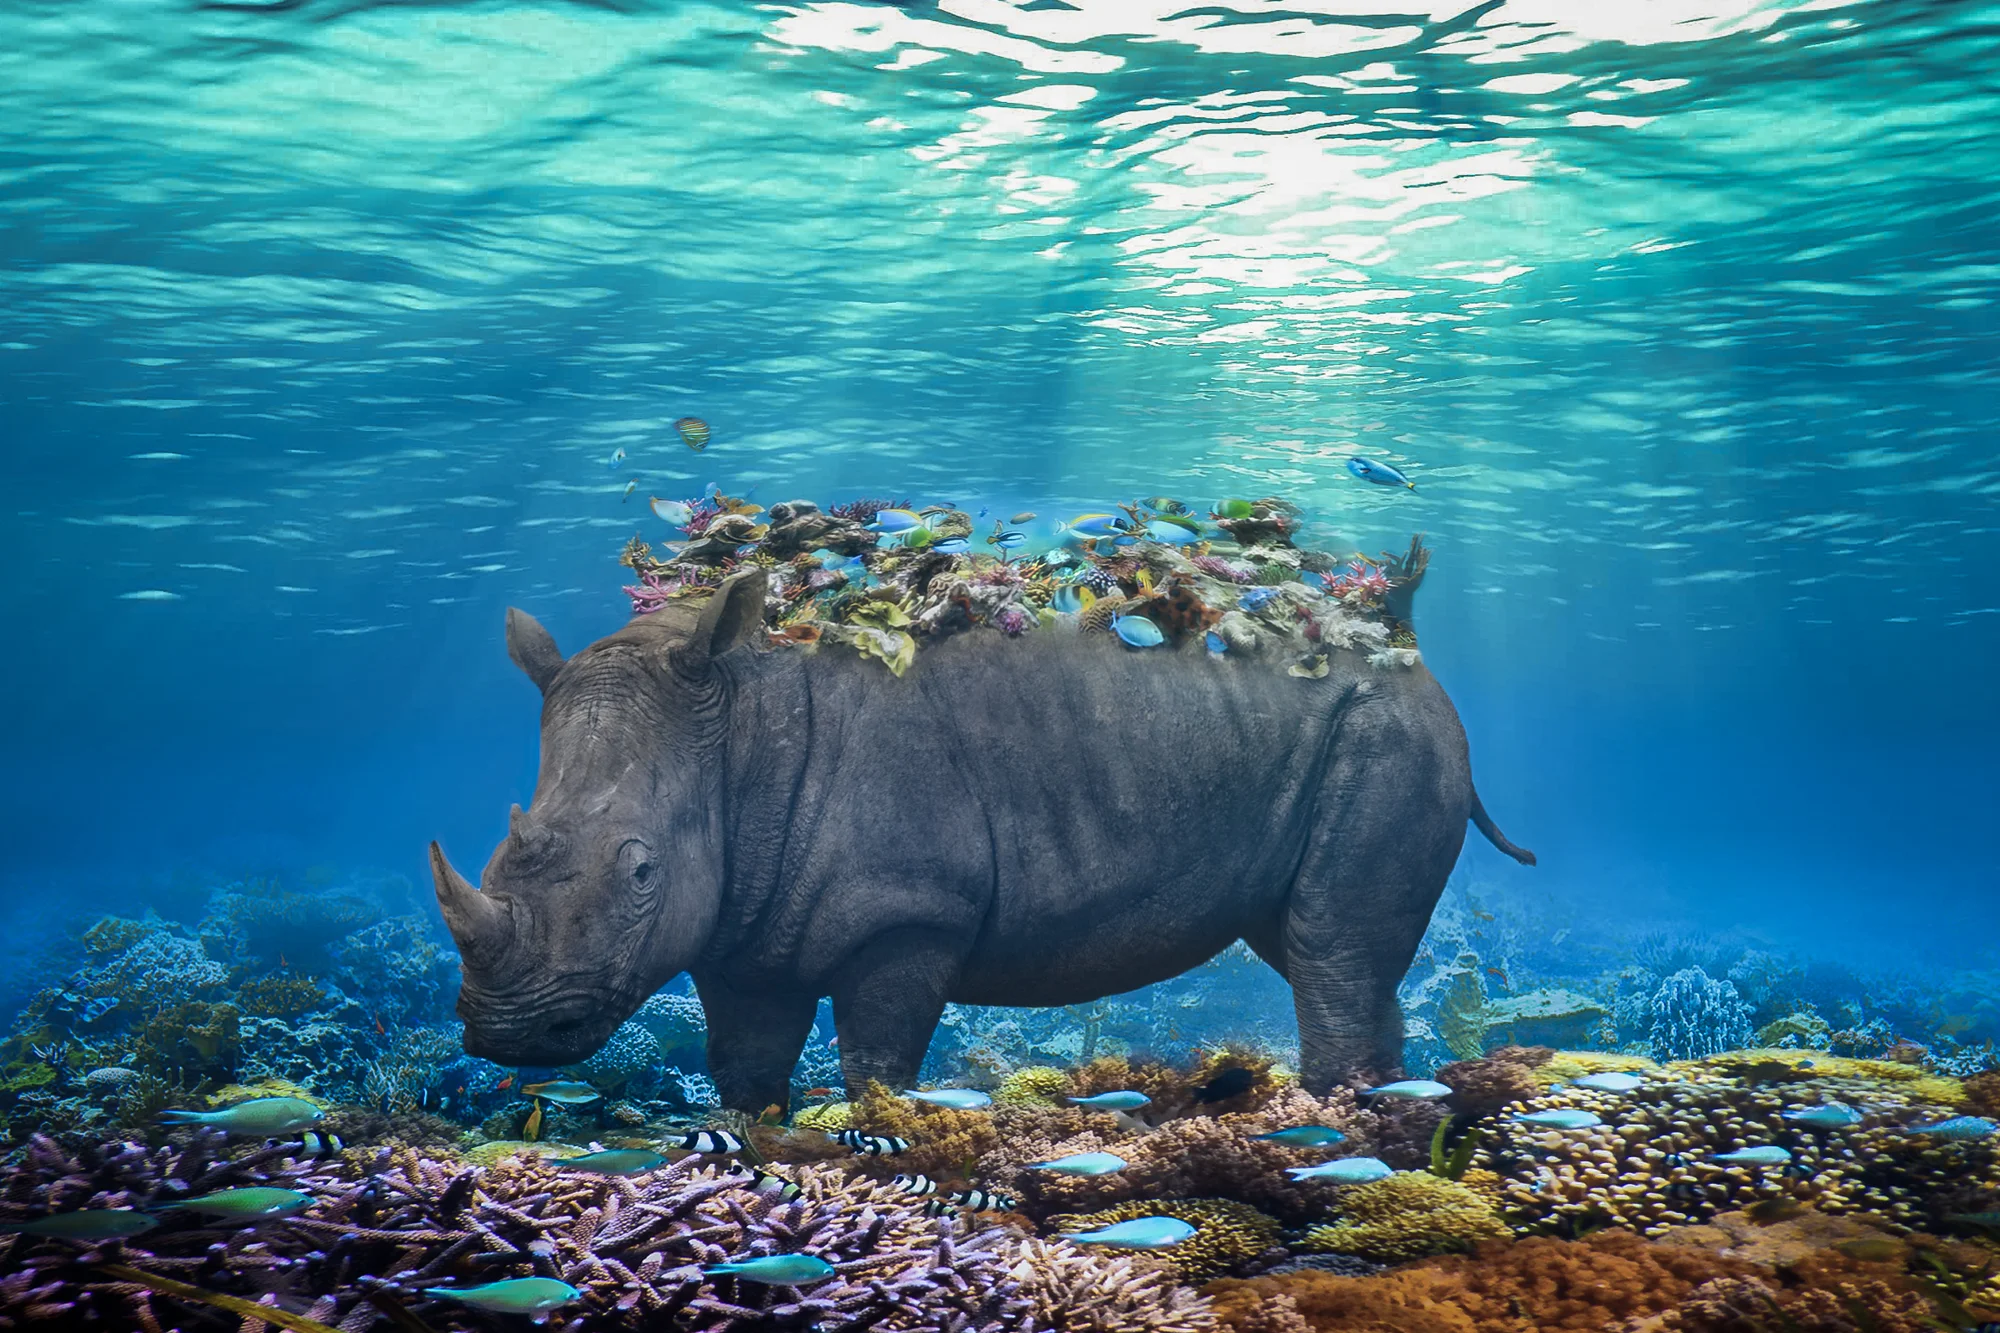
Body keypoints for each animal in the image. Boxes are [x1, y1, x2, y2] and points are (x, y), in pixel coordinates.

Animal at [430, 553, 1532, 1110]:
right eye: (492, 856)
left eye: (641, 871)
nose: (509, 1034)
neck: (735, 719)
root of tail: (1409, 655)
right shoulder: (743, 921)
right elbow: (742, 1064)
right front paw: (753, 1148)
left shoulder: (908, 913)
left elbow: (876, 1059)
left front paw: (873, 1141)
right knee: (1310, 939)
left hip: (1388, 729)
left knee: (1327, 946)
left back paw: (1325, 1127)